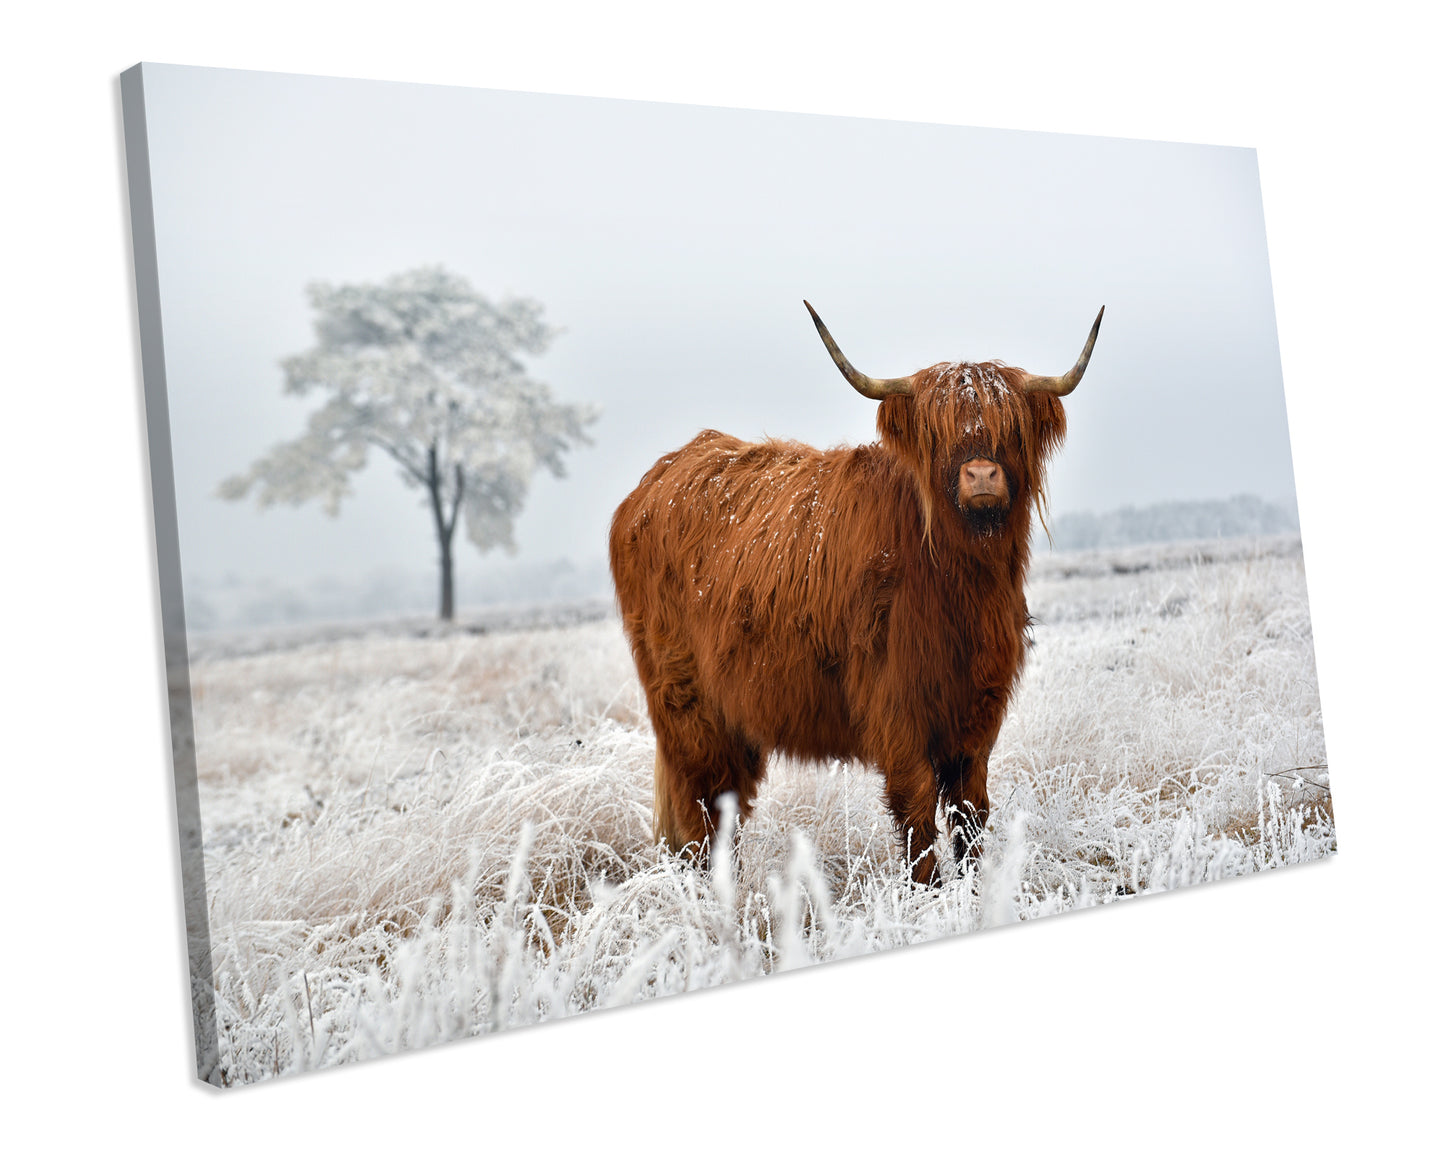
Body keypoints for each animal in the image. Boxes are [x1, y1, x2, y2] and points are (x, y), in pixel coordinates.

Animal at [609, 301, 1103, 884]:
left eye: (1011, 427)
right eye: (936, 432)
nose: (981, 474)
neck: (958, 587)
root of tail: (659, 478)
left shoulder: (978, 709)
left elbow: (970, 813)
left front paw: (975, 889)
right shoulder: (896, 706)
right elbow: (917, 813)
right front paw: (928, 893)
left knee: (726, 806)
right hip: (686, 706)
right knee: (698, 812)